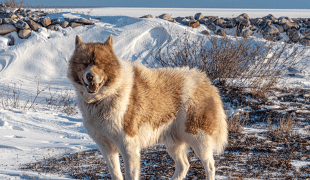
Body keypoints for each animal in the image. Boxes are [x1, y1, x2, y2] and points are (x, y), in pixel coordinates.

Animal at [68, 34, 228, 179]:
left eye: (100, 63)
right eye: (84, 63)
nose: (90, 76)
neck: (106, 96)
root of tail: (205, 81)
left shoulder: (129, 146)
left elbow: (130, 175)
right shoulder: (106, 148)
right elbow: (115, 174)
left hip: (198, 138)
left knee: (210, 165)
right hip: (173, 142)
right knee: (184, 165)